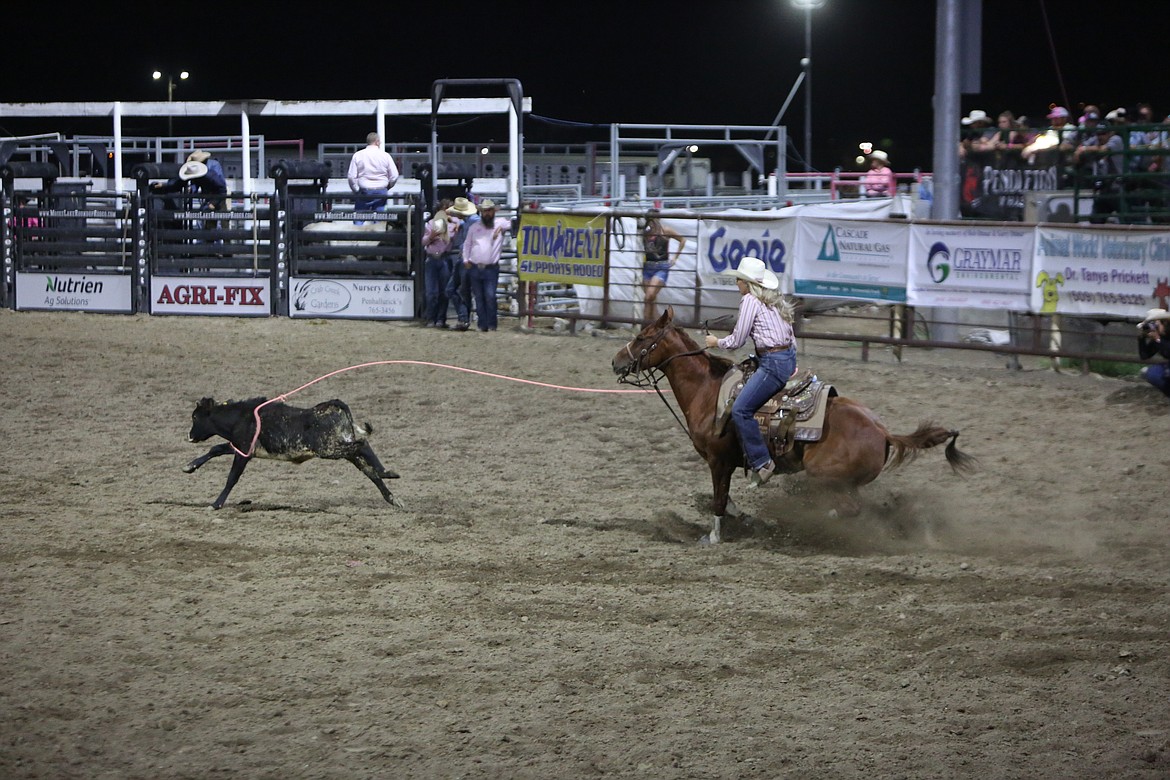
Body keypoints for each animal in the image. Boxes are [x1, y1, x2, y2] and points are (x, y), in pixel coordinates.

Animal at [182, 399, 402, 509]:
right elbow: (216, 449)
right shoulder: (241, 447)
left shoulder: (243, 452)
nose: (190, 436)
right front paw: (189, 466)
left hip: (329, 449)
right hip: (341, 447)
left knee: (362, 445)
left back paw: (387, 474)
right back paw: (390, 489)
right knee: (368, 469)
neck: (241, 417)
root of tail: (334, 406)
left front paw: (216, 504)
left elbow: (231, 478)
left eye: (195, 417)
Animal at [608, 306, 973, 542]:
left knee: (850, 509)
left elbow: (719, 500)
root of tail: (882, 431)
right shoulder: (724, 464)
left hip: (826, 477)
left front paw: (713, 537)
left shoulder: (719, 461)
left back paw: (804, 525)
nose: (615, 361)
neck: (708, 391)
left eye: (642, 337)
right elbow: (726, 500)